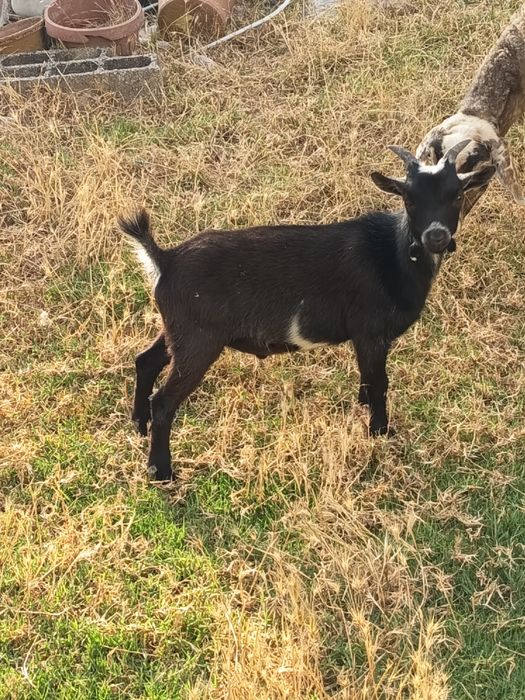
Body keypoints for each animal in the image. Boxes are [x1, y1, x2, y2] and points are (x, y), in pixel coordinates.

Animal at [119, 143, 494, 481]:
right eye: (409, 198)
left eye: (457, 195)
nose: (436, 236)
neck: (393, 254)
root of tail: (165, 259)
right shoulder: (371, 331)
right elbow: (379, 382)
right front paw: (380, 432)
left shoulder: (365, 339)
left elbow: (367, 379)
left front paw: (363, 411)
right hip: (199, 340)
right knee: (163, 400)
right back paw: (162, 471)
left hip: (178, 330)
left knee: (146, 360)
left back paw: (138, 425)